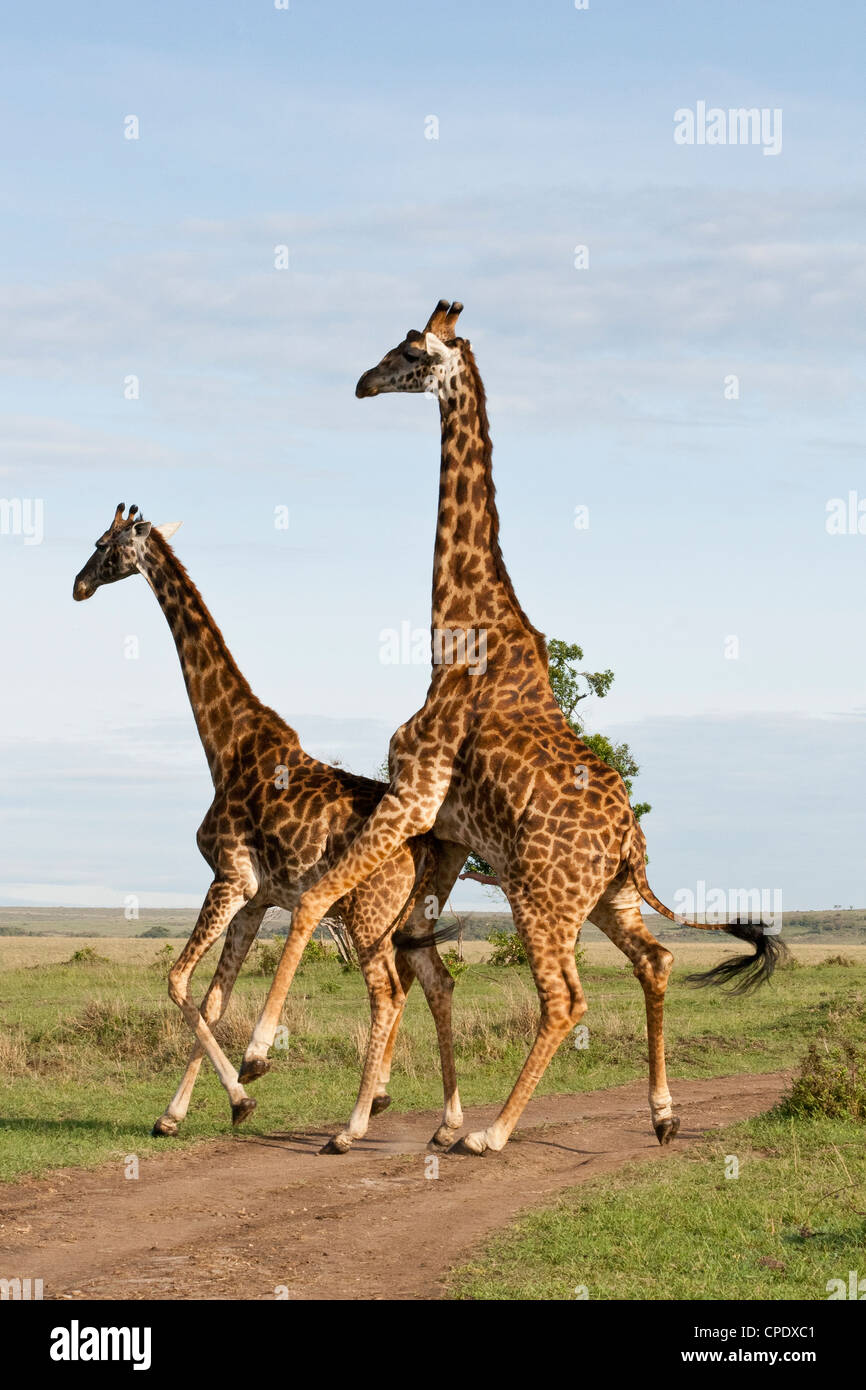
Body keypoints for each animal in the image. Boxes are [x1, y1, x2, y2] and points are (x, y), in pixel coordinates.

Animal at [72, 503, 467, 1152]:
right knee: (435, 982)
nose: (78, 585)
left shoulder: (228, 878)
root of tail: (425, 842)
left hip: (367, 912)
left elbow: (178, 982)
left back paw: (352, 1127)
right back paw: (446, 1121)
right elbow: (213, 999)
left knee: (388, 992)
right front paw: (180, 1113)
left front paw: (243, 1089)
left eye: (105, 544)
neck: (225, 744)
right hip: (406, 917)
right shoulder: (255, 898)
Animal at [240, 300, 787, 1156]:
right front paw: (390, 1107)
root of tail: (630, 843)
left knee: (565, 998)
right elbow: (405, 946)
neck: (456, 635)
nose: (362, 382)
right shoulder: (448, 831)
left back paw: (494, 1134)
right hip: (606, 898)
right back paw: (662, 1114)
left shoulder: (413, 793)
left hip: (541, 896)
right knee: (657, 961)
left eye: (410, 350)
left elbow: (315, 898)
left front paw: (262, 1055)